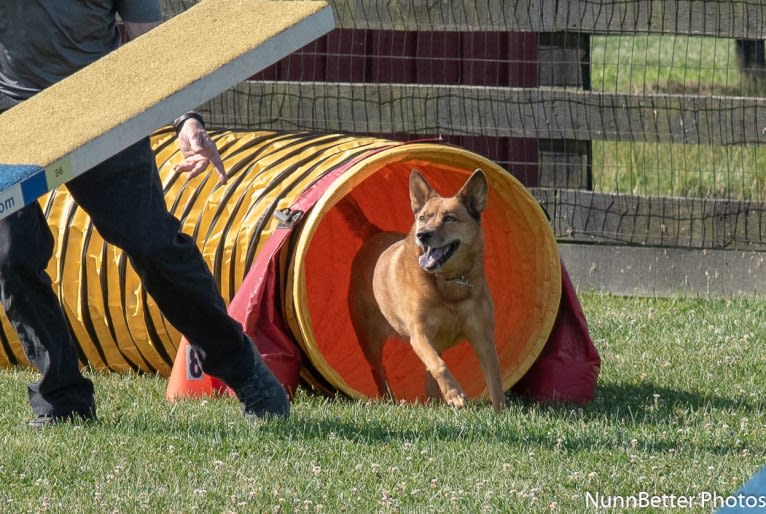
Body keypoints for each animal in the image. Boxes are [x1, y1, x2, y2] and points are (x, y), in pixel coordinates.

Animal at [342, 170, 504, 410]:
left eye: (449, 218)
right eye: (422, 218)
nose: (423, 235)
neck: (449, 282)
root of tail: (374, 233)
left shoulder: (483, 338)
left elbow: (495, 380)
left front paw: (500, 412)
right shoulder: (419, 334)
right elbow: (439, 365)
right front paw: (456, 395)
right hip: (369, 337)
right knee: (378, 368)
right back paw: (390, 399)